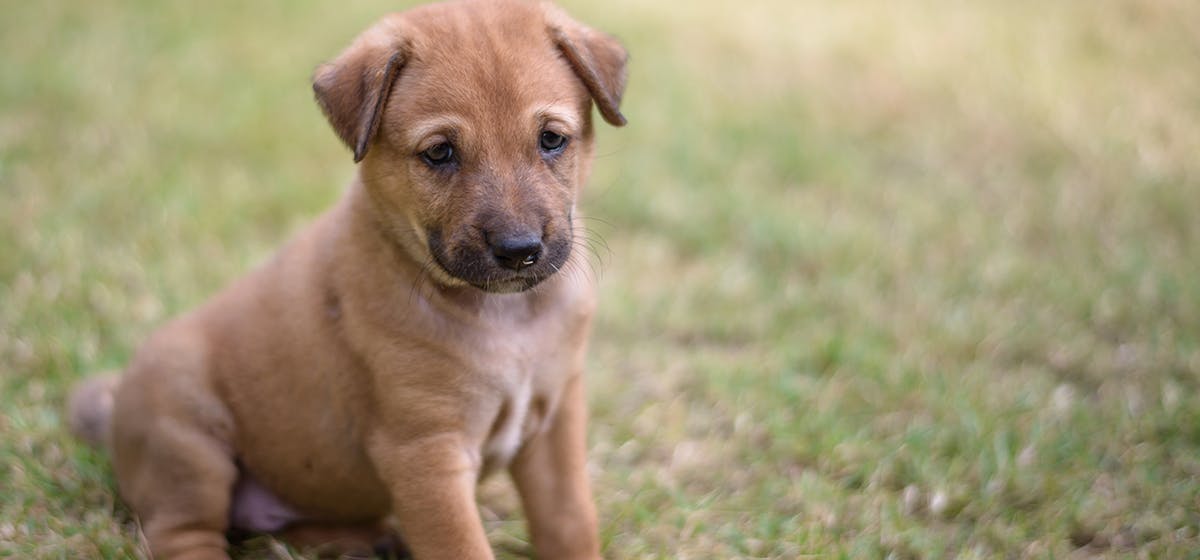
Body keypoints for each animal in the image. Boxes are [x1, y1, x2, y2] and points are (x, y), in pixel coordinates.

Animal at [65, 0, 628, 558]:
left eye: (551, 140)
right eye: (439, 152)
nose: (519, 251)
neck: (508, 317)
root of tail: (116, 407)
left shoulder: (555, 422)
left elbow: (569, 519)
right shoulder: (426, 452)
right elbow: (464, 546)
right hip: (187, 445)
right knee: (184, 534)